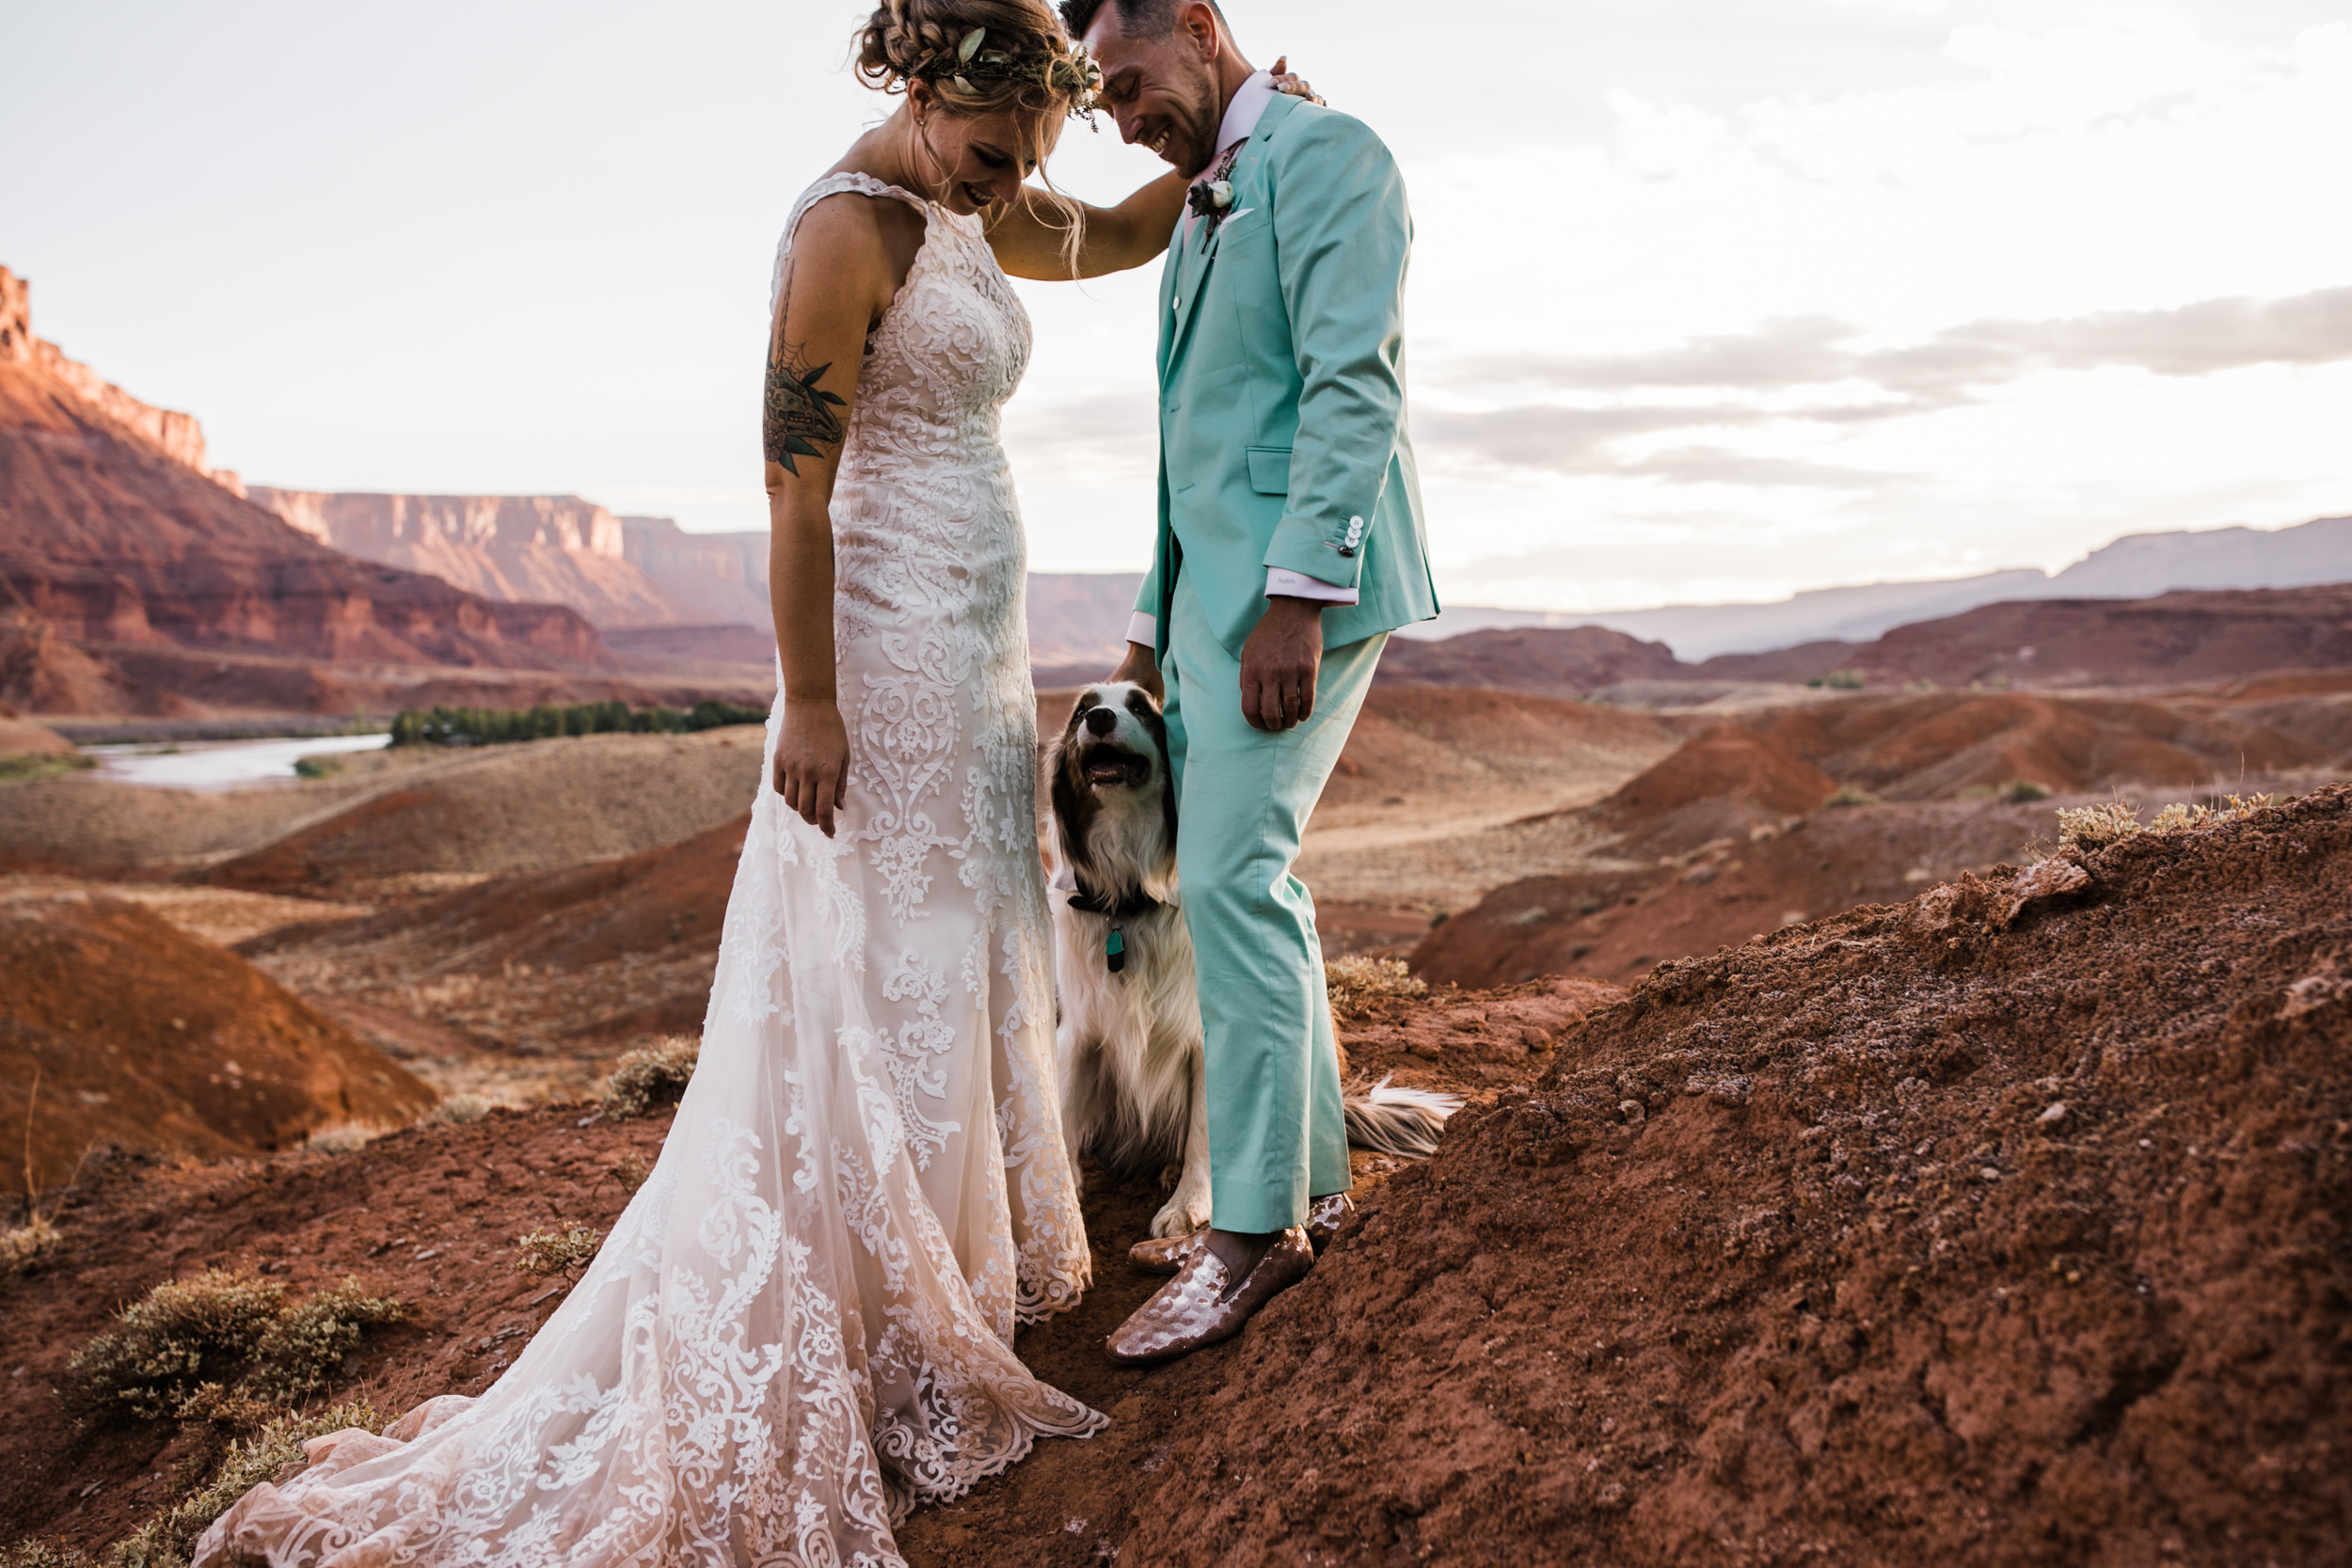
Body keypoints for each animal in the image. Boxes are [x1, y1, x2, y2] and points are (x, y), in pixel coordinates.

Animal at [1044, 681, 1449, 1241]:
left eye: (1140, 708)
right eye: (1082, 709)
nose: (1100, 719)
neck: (1130, 899)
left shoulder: (1204, 1033)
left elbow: (1204, 1131)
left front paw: (1189, 1203)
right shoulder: (1080, 1031)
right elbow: (1062, 1116)